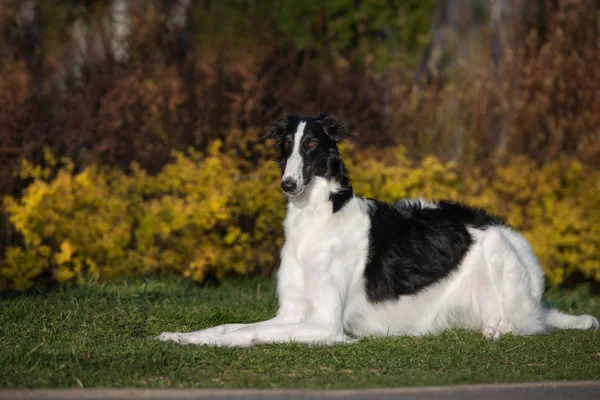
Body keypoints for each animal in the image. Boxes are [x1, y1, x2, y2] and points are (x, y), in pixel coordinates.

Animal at [157, 112, 596, 346]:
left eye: (312, 144)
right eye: (285, 144)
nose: (288, 185)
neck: (318, 219)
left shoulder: (326, 324)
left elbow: (246, 335)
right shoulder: (294, 311)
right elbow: (229, 326)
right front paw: (180, 337)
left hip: (498, 249)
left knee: (522, 325)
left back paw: (497, 330)